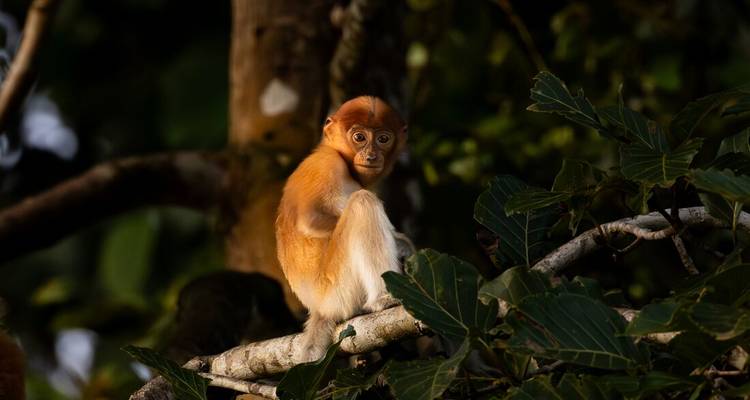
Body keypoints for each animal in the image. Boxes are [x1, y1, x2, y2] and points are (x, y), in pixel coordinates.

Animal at [275, 96, 411, 361]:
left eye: (383, 139)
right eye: (359, 137)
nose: (371, 156)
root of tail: (318, 307)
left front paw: (403, 244)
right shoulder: (325, 164)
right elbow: (309, 220)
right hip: (336, 290)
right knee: (362, 203)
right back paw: (383, 299)